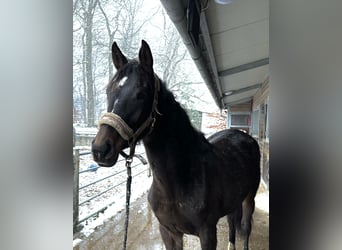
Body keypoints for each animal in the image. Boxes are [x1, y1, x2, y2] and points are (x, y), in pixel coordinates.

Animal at [91, 40, 260, 249]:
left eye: (141, 93)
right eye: (108, 91)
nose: (100, 149)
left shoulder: (207, 233)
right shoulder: (169, 232)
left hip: (249, 198)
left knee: (245, 228)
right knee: (231, 223)